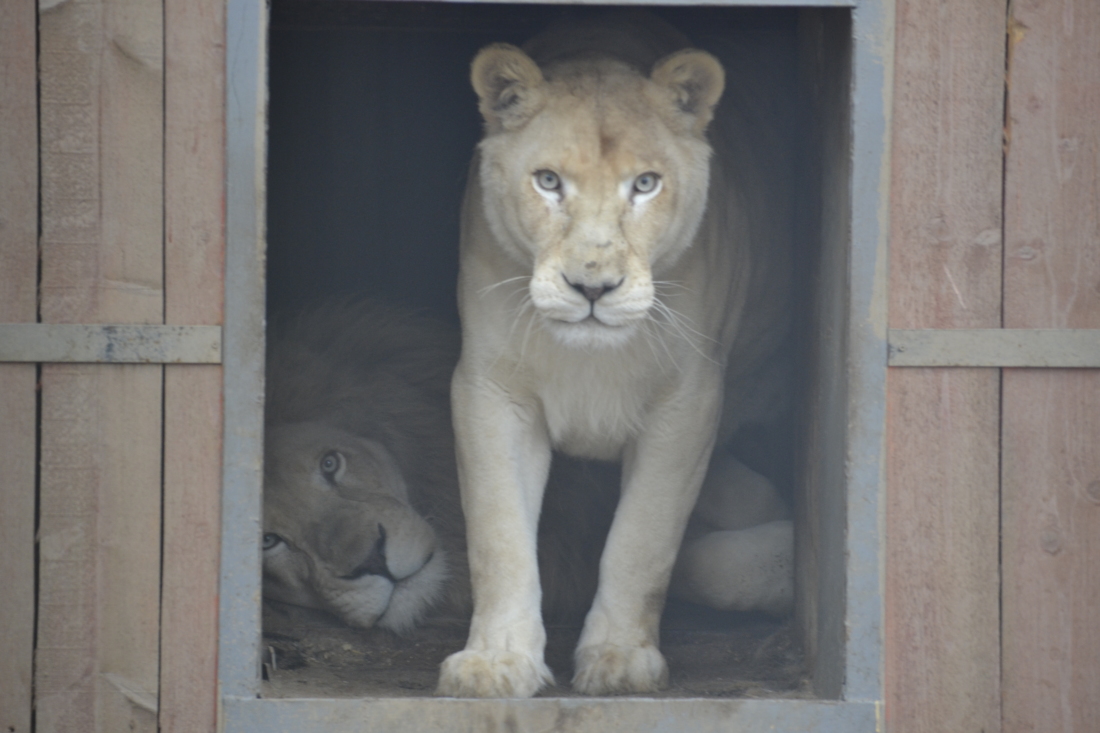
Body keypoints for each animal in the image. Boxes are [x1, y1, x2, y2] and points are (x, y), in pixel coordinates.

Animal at [440, 12, 800, 695]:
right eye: (548, 181)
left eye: (646, 184)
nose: (592, 288)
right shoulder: (492, 392)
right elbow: (499, 538)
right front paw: (497, 660)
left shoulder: (687, 402)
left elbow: (643, 541)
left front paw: (619, 658)